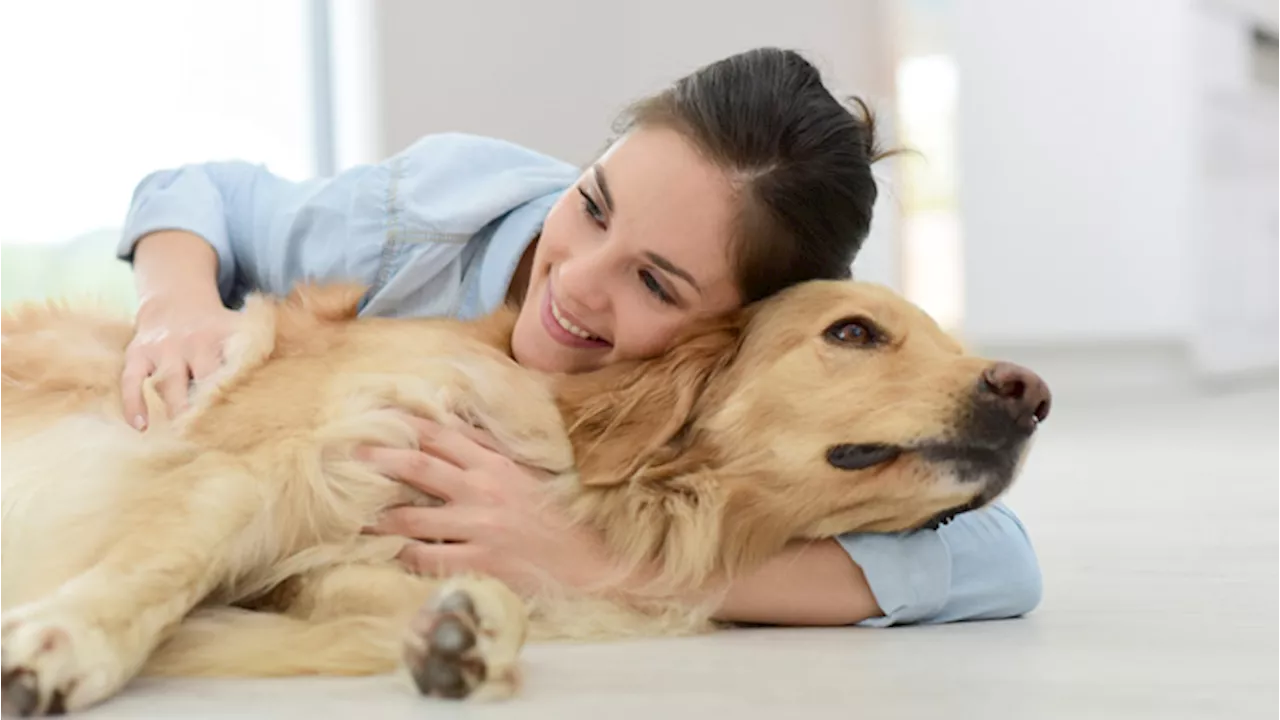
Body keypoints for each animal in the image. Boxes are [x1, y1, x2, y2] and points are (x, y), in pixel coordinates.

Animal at [0, 278, 1044, 707]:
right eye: (855, 333)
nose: (1032, 394)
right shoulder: (255, 473)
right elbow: (159, 569)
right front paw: (60, 647)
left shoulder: (330, 557)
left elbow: (485, 595)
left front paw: (455, 633)